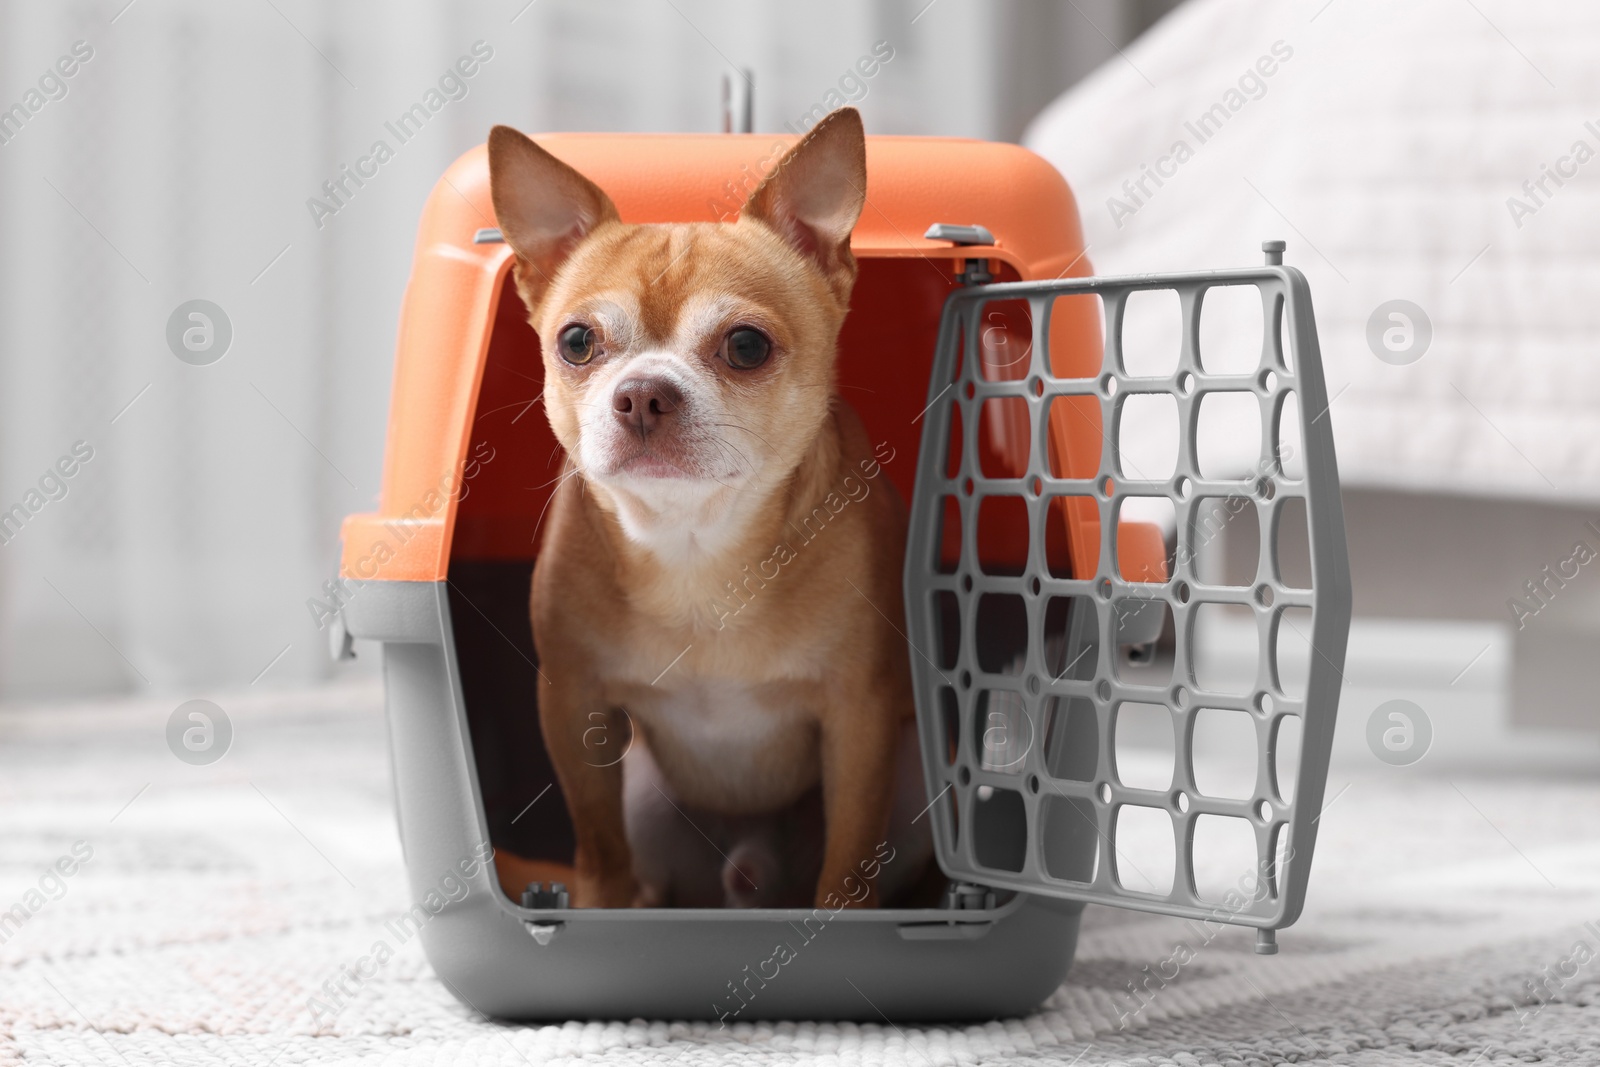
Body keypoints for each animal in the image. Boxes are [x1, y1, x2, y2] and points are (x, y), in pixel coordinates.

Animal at [483, 110, 928, 908]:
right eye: (576, 341)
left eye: (746, 345)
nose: (642, 393)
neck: (694, 547)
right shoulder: (575, 705)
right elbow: (599, 844)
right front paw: (598, 909)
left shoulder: (861, 719)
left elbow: (849, 860)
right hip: (646, 796)